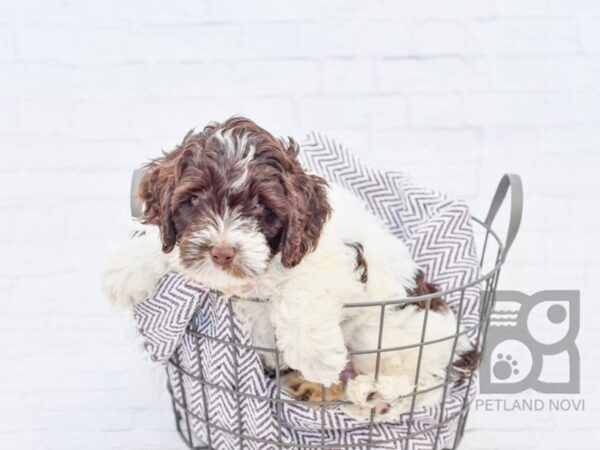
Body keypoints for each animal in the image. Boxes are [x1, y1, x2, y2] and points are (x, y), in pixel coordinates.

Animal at [103, 117, 478, 422]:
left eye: (259, 206)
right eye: (194, 200)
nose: (222, 252)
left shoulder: (341, 260)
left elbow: (301, 288)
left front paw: (316, 355)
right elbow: (167, 246)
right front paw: (125, 270)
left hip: (393, 334)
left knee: (428, 383)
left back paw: (376, 396)